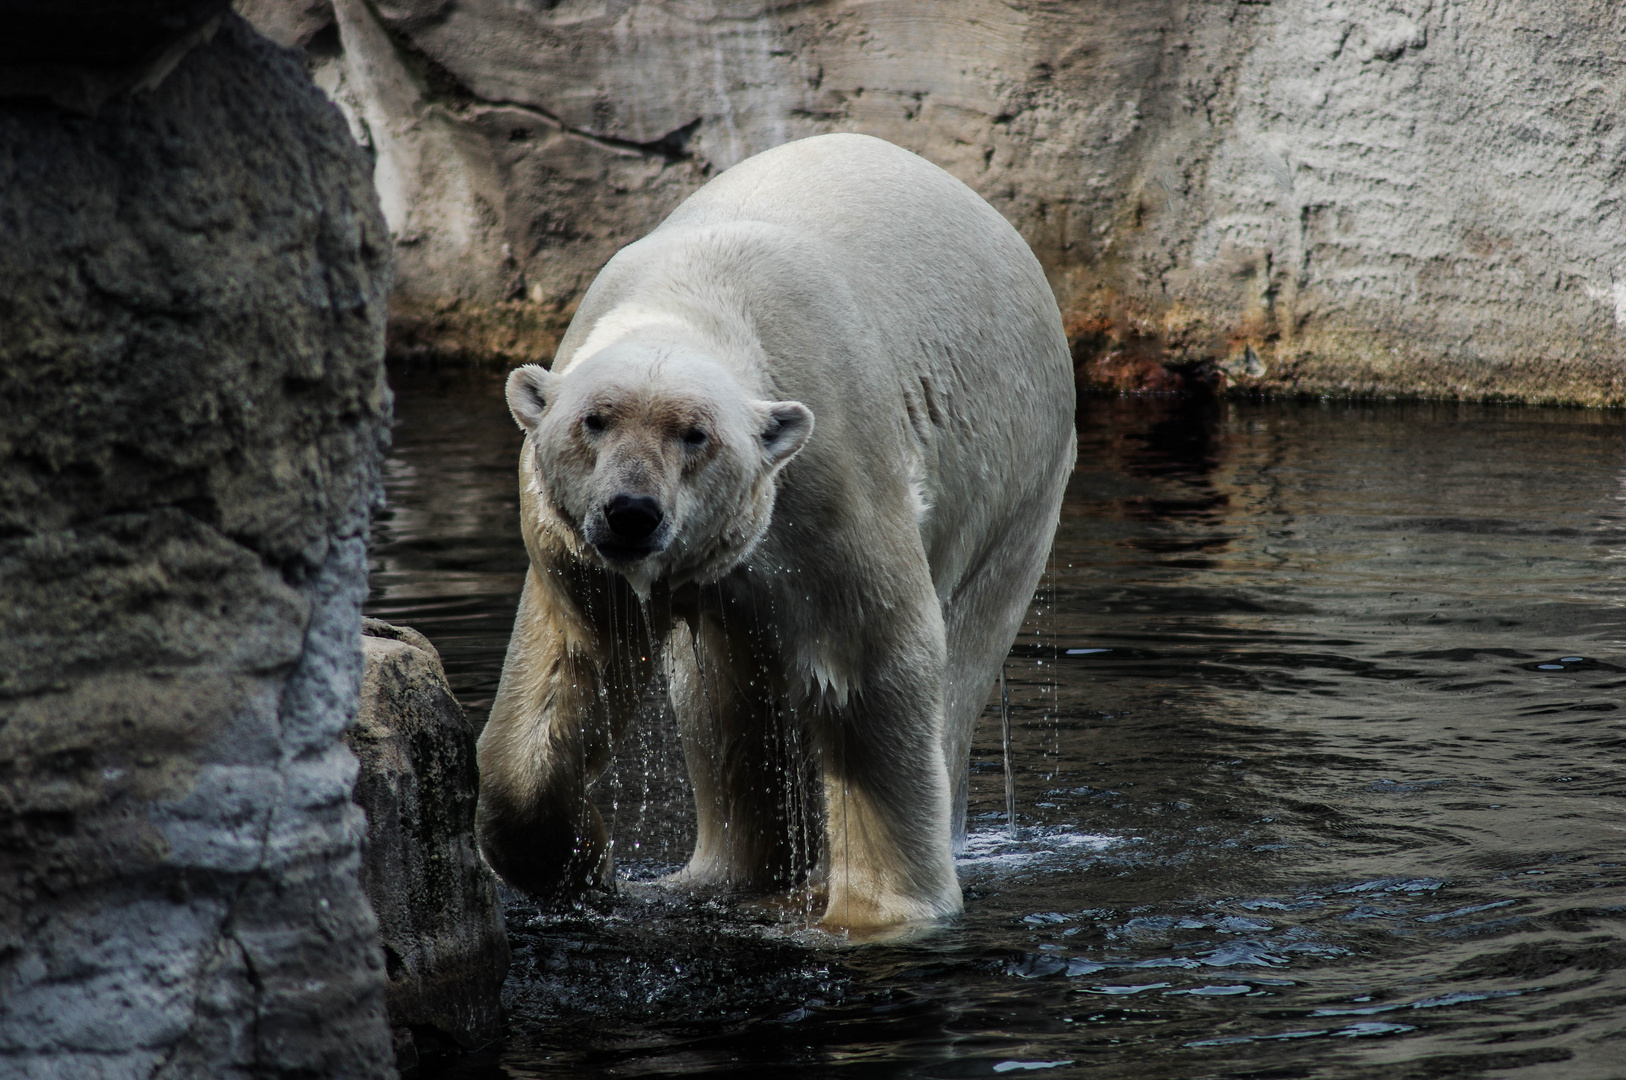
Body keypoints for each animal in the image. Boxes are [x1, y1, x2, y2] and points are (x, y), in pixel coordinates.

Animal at [474, 132, 1073, 930]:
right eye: (593, 421)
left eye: (695, 435)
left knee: (962, 658)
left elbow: (874, 662)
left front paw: (879, 912)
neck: (697, 292)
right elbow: (573, 665)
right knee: (724, 702)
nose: (632, 511)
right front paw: (583, 866)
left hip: (1016, 473)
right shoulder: (574, 547)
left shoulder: (830, 472)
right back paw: (721, 878)